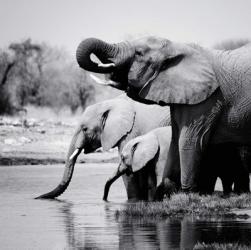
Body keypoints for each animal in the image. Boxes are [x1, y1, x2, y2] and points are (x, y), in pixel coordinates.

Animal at [35, 94, 171, 200]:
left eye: (85, 129)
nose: (36, 197)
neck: (111, 103)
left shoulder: (131, 131)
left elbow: (131, 171)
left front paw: (134, 201)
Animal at [76, 36, 251, 197]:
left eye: (139, 53)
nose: (104, 200)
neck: (179, 47)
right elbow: (175, 139)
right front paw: (167, 193)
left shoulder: (209, 99)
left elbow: (189, 140)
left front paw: (188, 195)